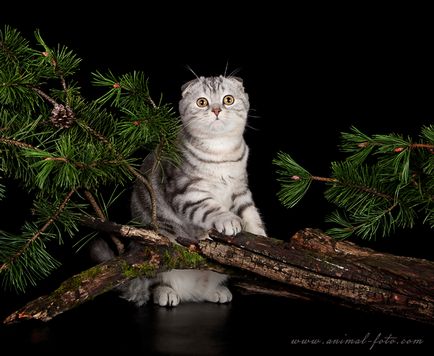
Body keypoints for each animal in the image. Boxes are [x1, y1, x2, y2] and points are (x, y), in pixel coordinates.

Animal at [93, 74, 266, 306]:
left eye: (228, 99)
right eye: (202, 102)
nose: (216, 109)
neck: (221, 152)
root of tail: (191, 293)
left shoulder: (240, 189)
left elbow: (251, 215)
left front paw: (260, 241)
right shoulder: (188, 191)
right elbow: (211, 209)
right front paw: (228, 220)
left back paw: (216, 292)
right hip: (156, 255)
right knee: (153, 284)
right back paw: (165, 292)